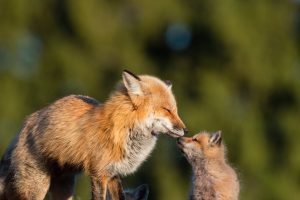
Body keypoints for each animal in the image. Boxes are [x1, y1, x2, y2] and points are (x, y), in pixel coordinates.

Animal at [0, 70, 188, 200]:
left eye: (175, 110)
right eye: (167, 110)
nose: (186, 130)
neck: (122, 129)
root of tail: (26, 123)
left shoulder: (113, 174)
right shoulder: (99, 173)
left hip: (65, 187)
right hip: (37, 186)